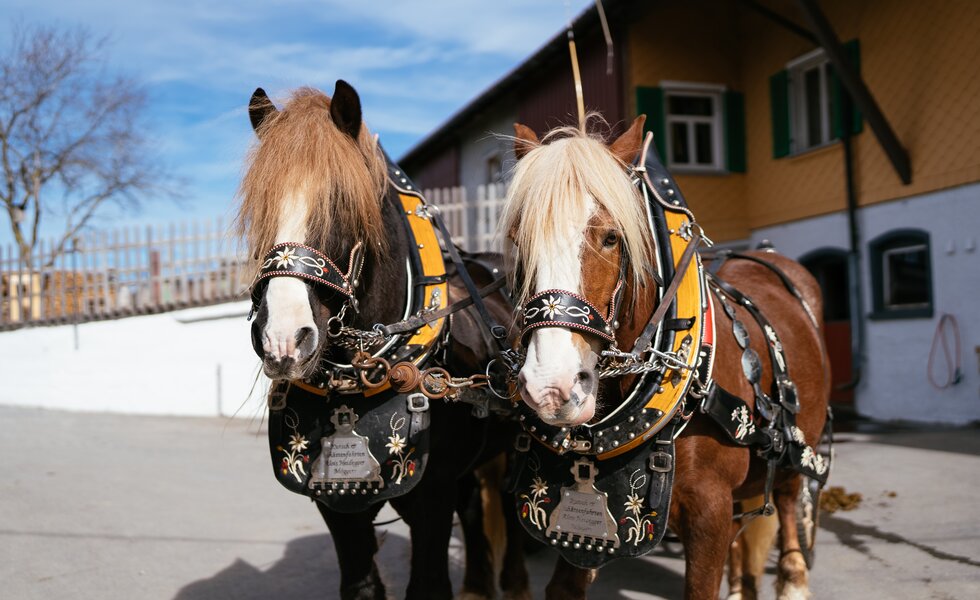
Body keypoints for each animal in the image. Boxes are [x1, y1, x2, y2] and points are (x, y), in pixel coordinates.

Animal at [502, 118, 832, 600]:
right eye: (518, 241)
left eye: (611, 237)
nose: (551, 387)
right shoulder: (573, 528)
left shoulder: (709, 512)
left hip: (797, 446)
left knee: (789, 508)